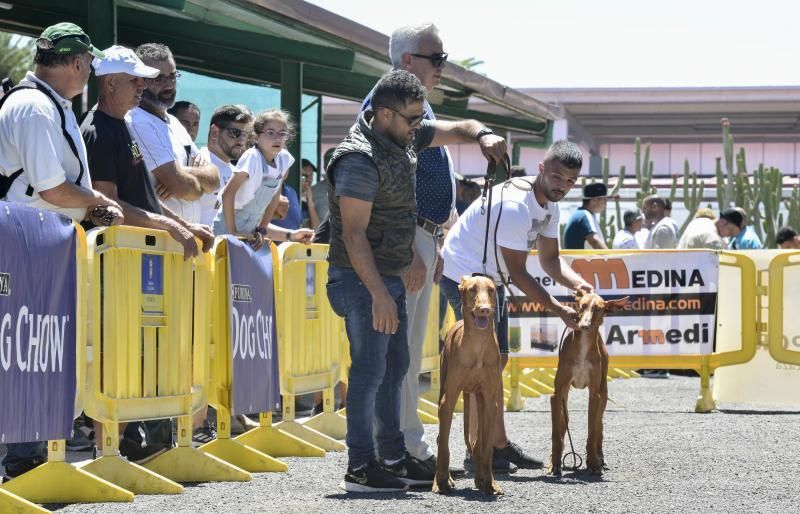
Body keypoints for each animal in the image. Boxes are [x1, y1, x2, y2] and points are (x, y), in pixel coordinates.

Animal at [432, 274, 500, 494]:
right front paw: (441, 481)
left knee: (478, 443)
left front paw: (489, 482)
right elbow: (444, 445)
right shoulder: (448, 399)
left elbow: (486, 449)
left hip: (479, 399)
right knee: (441, 439)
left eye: (491, 290)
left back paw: (481, 478)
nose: (484, 309)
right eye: (472, 289)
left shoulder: (490, 400)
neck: (477, 346)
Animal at [548, 290, 628, 474]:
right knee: (563, 423)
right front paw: (554, 463)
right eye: (582, 305)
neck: (583, 347)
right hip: (564, 399)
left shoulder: (594, 395)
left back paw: (600, 457)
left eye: (598, 309)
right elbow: (556, 433)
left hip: (603, 393)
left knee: (599, 427)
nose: (584, 325)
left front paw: (592, 462)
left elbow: (592, 431)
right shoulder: (557, 394)